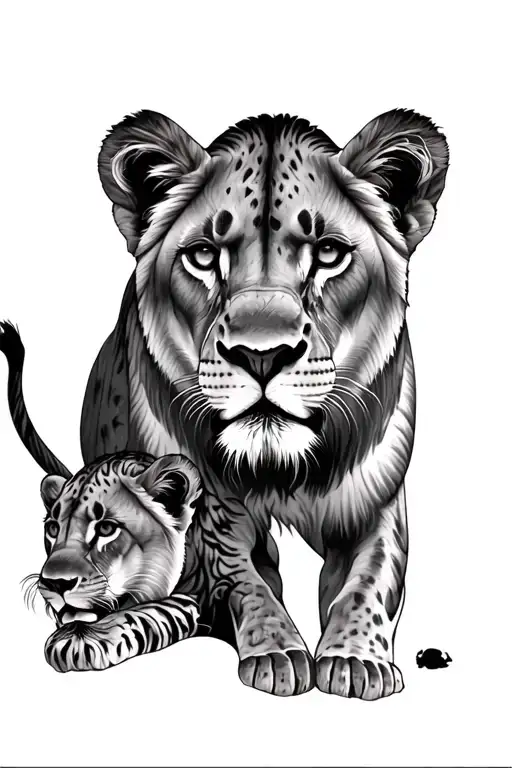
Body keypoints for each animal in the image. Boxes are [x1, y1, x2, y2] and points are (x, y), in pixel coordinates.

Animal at [79, 108, 448, 699]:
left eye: (328, 253)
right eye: (204, 255)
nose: (262, 354)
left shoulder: (377, 503)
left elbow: (372, 578)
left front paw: (355, 660)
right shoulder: (208, 516)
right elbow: (244, 580)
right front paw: (277, 652)